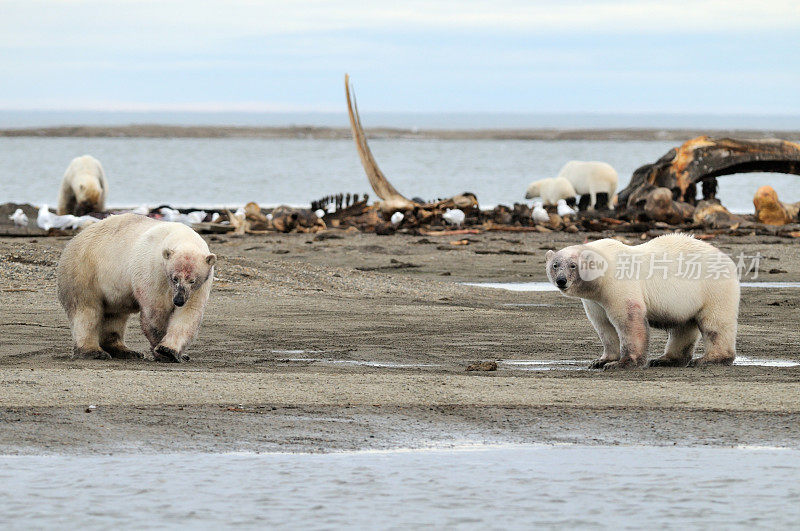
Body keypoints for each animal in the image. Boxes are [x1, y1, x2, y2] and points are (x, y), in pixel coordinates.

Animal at [57, 214, 216, 364]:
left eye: (192, 280)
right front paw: (160, 348)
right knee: (86, 310)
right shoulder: (154, 271)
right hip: (84, 271)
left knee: (115, 315)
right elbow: (156, 311)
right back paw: (93, 351)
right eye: (174, 278)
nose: (178, 300)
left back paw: (126, 351)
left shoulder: (200, 286)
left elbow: (189, 313)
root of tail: (75, 238)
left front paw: (170, 350)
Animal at [548, 235, 740, 372]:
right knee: (683, 326)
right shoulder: (595, 301)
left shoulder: (618, 285)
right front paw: (601, 361)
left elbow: (629, 321)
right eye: (555, 265)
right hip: (687, 300)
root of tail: (727, 260)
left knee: (715, 324)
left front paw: (622, 363)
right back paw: (665, 360)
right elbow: (604, 326)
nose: (561, 281)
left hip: (713, 288)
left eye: (573, 265)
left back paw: (709, 359)